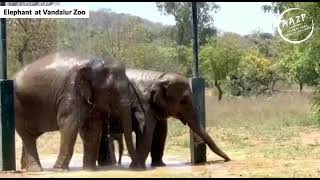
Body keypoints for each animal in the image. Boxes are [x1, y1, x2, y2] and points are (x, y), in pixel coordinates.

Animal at [13, 51, 146, 172]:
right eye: (110, 92)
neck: (92, 62)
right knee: (27, 136)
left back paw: (26, 168)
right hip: (18, 106)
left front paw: (90, 169)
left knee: (32, 136)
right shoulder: (71, 91)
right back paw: (36, 170)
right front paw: (59, 170)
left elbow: (93, 128)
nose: (138, 168)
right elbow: (69, 124)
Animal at [97, 69, 230, 169]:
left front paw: (159, 166)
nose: (228, 159)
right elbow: (146, 133)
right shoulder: (144, 104)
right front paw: (137, 168)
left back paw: (105, 166)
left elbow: (160, 133)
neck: (159, 77)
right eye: (183, 101)